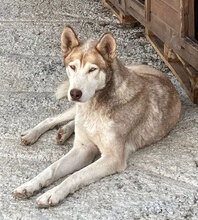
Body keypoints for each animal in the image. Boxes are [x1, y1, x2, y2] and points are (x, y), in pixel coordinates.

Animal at [12, 25, 181, 208]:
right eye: (72, 67)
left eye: (92, 69)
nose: (75, 93)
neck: (94, 109)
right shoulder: (83, 148)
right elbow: (52, 168)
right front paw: (29, 185)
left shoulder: (112, 158)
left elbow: (75, 175)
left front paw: (52, 193)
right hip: (73, 108)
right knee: (54, 119)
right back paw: (34, 134)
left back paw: (63, 131)